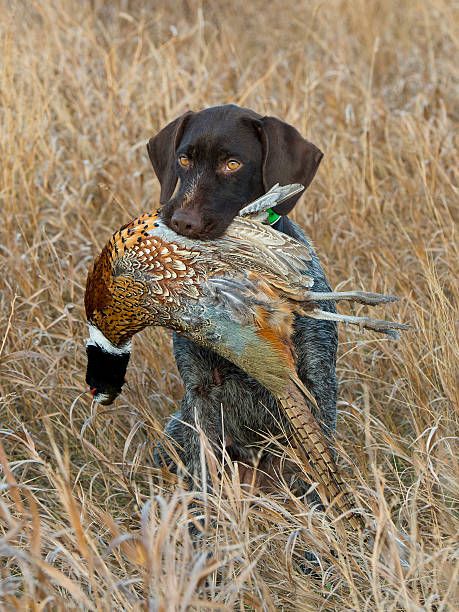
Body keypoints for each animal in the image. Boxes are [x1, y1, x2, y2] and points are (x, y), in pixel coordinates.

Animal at [147, 104, 338, 498]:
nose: (181, 221)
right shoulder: (201, 390)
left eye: (232, 164)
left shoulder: (317, 382)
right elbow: (204, 471)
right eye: (184, 159)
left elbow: (318, 469)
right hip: (174, 428)